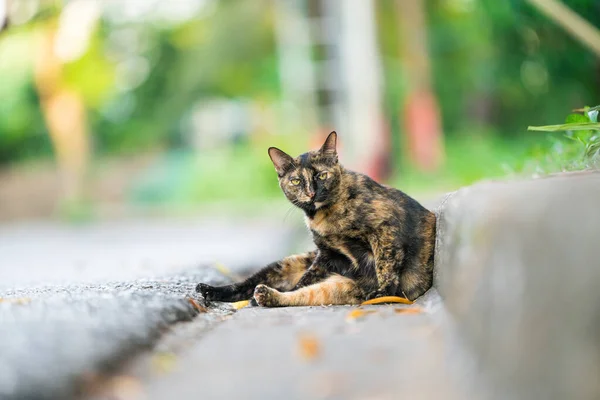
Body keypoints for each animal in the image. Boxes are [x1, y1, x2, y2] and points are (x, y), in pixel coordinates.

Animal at [197, 133, 436, 308]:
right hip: (289, 263)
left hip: (338, 286)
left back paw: (262, 297)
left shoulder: (385, 229)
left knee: (298, 295)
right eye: (296, 180)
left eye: (321, 175)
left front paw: (384, 292)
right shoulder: (327, 254)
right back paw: (211, 290)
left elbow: (385, 264)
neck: (321, 217)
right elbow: (305, 279)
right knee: (251, 284)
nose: (311, 193)